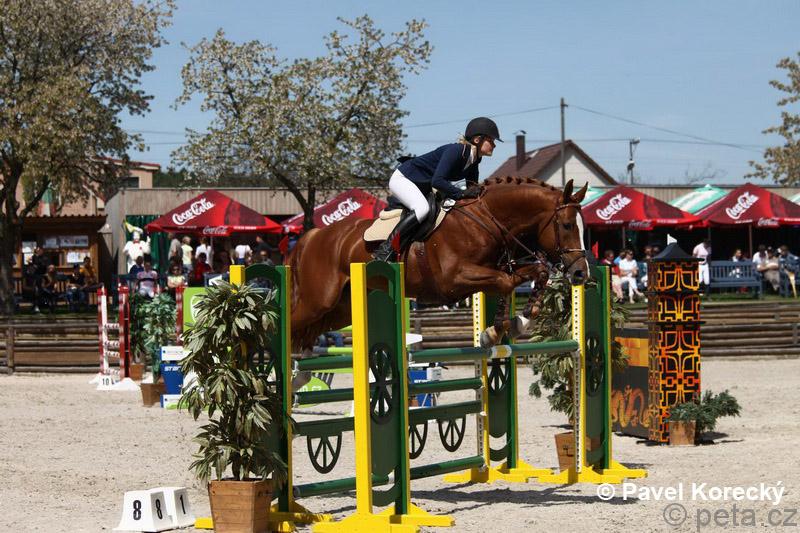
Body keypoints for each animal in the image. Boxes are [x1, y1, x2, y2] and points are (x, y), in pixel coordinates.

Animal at [288, 177, 589, 352]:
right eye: (566, 225)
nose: (580, 273)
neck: (487, 219)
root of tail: (312, 236)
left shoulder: (495, 269)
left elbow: (535, 273)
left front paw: (513, 323)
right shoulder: (453, 281)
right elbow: (507, 281)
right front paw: (500, 328)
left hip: (341, 308)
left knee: (309, 332)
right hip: (318, 300)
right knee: (290, 321)